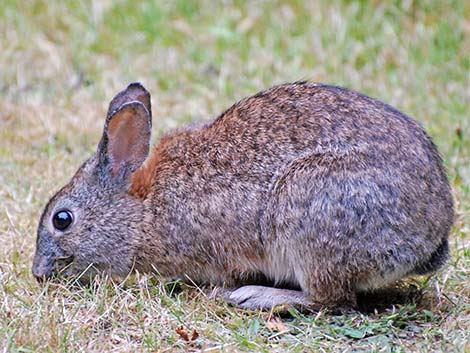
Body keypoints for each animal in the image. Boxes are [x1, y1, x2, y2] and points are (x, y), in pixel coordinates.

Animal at [31, 82, 454, 308]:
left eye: (62, 219)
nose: (38, 273)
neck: (143, 210)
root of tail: (430, 238)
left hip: (309, 211)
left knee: (330, 299)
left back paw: (255, 297)